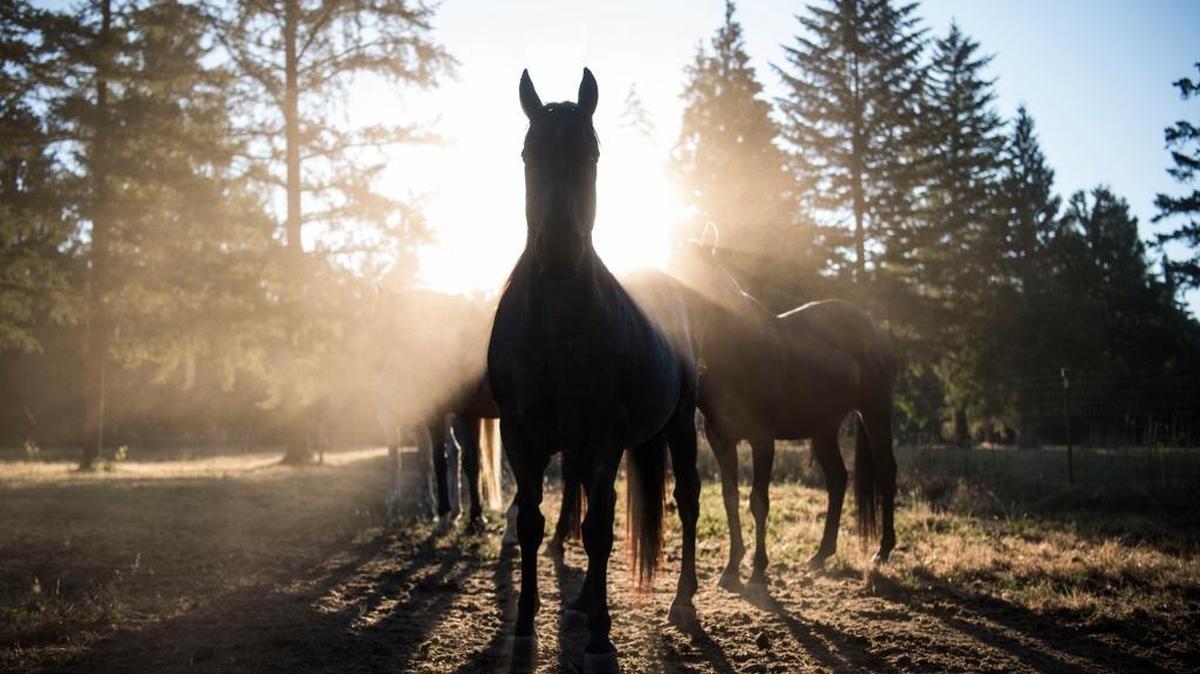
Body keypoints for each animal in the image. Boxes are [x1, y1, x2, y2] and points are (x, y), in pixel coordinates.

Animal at [486, 68, 701, 667]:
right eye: (528, 154)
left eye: (593, 153)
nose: (559, 251)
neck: (557, 333)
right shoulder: (521, 437)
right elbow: (532, 523)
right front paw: (525, 622)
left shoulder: (605, 440)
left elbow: (600, 530)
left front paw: (603, 633)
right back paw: (583, 599)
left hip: (680, 424)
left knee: (688, 500)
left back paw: (682, 601)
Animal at [669, 239, 898, 593]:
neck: (736, 352)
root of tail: (873, 326)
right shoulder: (721, 438)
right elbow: (730, 498)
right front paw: (732, 568)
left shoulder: (762, 439)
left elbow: (758, 501)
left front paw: (758, 570)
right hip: (824, 428)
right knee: (837, 479)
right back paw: (820, 555)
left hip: (875, 413)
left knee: (886, 472)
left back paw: (882, 551)